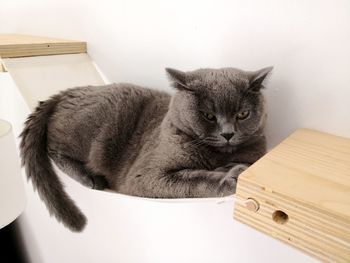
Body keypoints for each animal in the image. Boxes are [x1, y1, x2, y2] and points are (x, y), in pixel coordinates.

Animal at [19, 67, 272, 232]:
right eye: (208, 115)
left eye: (243, 114)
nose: (228, 134)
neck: (215, 154)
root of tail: (68, 91)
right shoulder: (146, 174)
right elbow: (195, 179)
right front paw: (229, 178)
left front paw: (233, 168)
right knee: (53, 148)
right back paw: (90, 178)